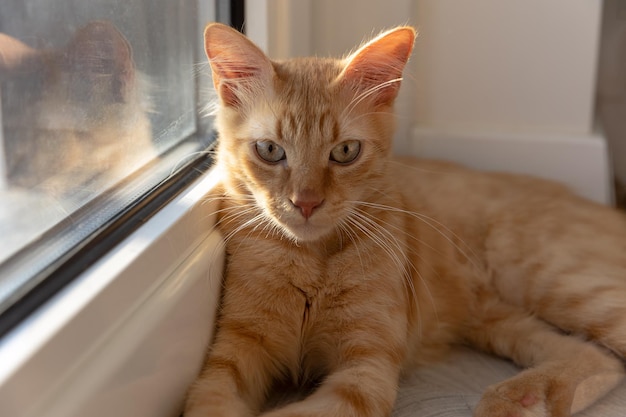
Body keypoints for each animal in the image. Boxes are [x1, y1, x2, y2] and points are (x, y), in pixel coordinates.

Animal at [184, 22, 624, 416]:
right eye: (270, 150)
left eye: (345, 151)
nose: (306, 203)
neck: (312, 260)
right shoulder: (232, 353)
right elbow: (208, 403)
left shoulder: (366, 368)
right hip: (498, 316)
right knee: (596, 358)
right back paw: (521, 399)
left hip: (550, 279)